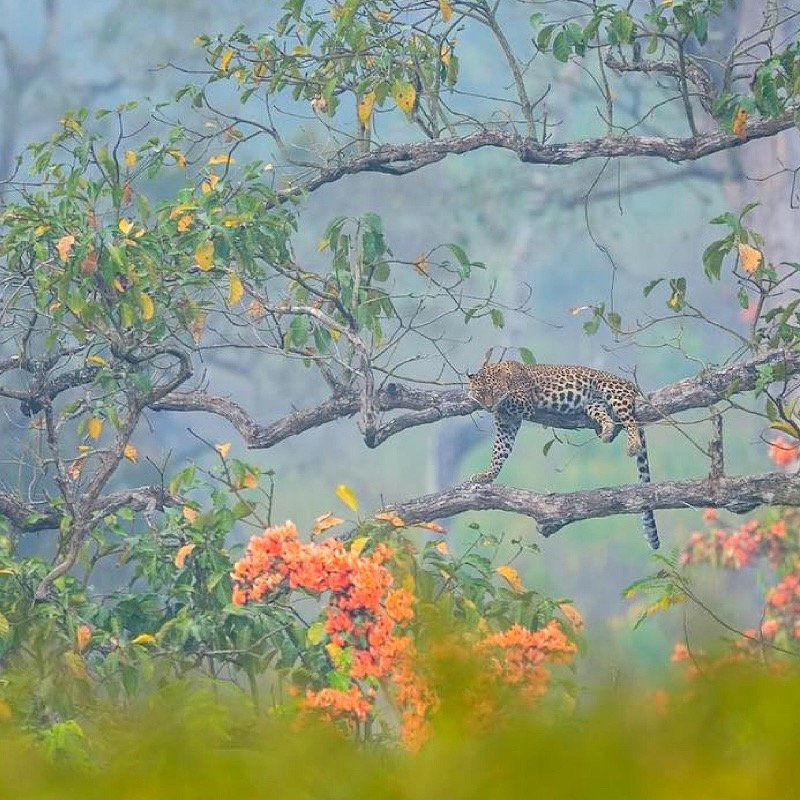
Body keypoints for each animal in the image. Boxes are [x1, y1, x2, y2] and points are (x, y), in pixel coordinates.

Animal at [466, 360, 659, 549]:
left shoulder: (524, 402)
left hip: (612, 390)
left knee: (630, 421)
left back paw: (633, 445)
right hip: (593, 404)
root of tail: (629, 383)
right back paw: (606, 432)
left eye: (493, 390)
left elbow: (510, 398)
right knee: (609, 419)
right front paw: (486, 476)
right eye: (480, 393)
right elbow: (499, 452)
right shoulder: (507, 423)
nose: (489, 406)